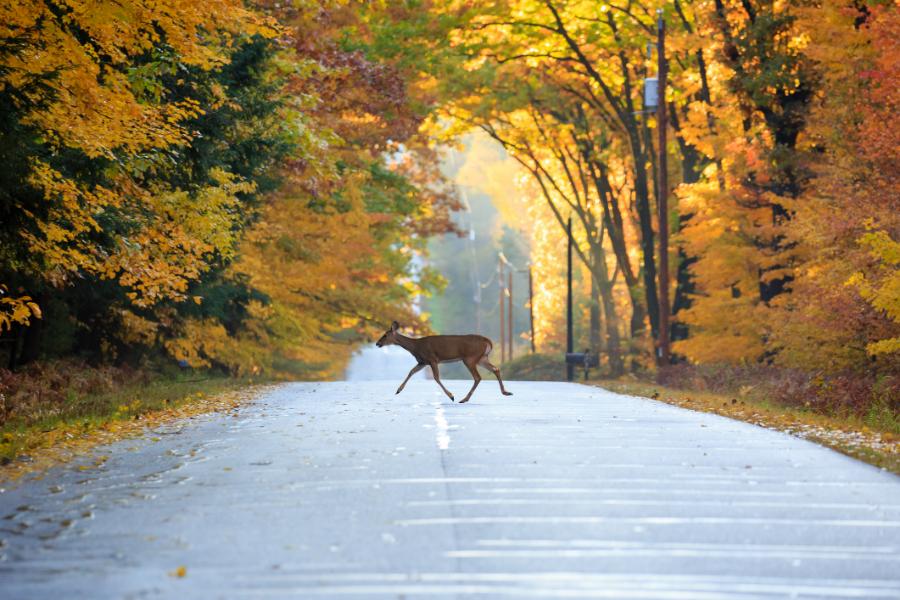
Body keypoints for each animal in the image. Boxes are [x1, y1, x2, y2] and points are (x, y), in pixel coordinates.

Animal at [375, 321, 513, 403]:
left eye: (385, 335)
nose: (377, 343)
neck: (415, 347)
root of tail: (488, 341)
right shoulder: (422, 362)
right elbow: (411, 372)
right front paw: (398, 390)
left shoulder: (432, 359)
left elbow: (436, 378)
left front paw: (451, 396)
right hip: (481, 358)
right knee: (495, 369)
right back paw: (506, 392)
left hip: (470, 358)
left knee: (478, 377)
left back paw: (464, 399)